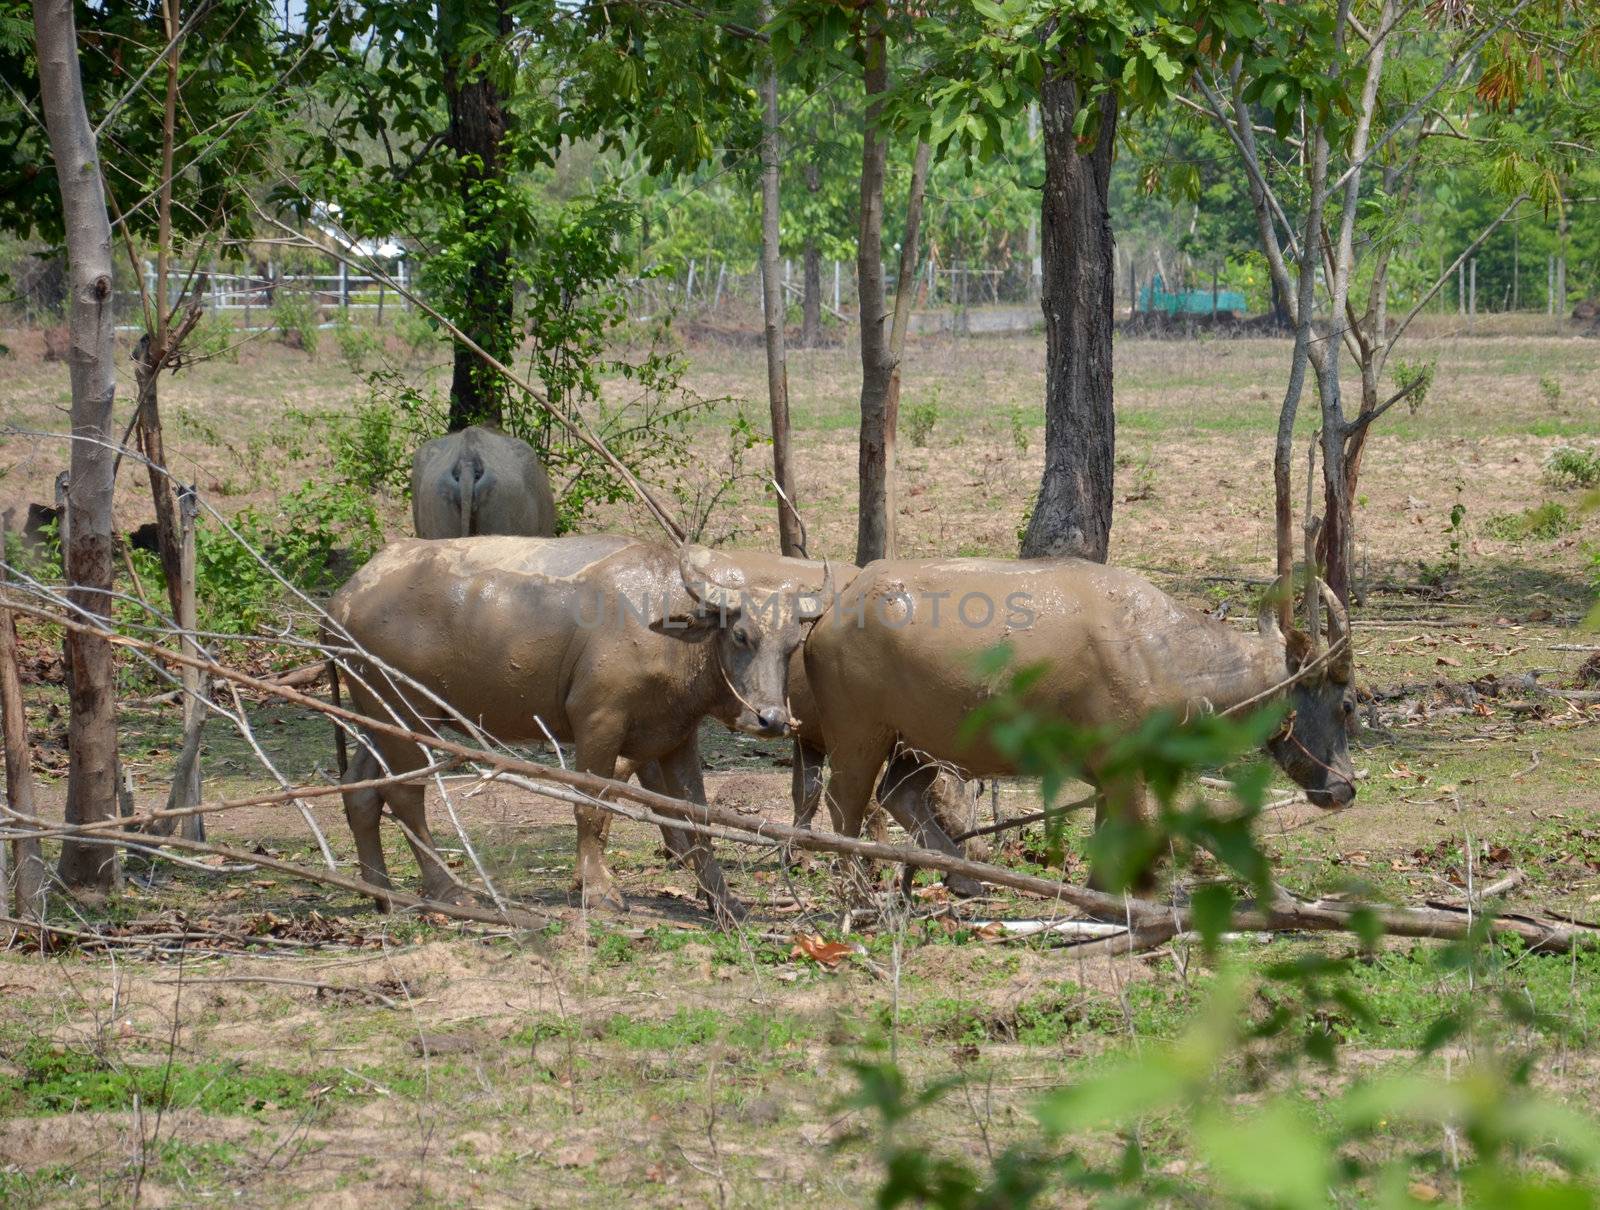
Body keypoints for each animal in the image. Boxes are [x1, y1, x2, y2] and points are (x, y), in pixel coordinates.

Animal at [323, 537, 825, 915]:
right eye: (741, 635)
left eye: (791, 645)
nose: (771, 719)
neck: (663, 635)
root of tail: (341, 600)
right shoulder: (598, 723)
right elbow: (591, 806)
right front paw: (598, 890)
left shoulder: (677, 736)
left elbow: (696, 816)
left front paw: (723, 902)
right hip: (404, 712)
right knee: (405, 794)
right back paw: (447, 891)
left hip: (378, 718)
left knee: (362, 791)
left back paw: (382, 893)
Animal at [806, 556, 1356, 889]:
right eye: (1348, 703)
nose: (1345, 789)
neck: (1162, 653)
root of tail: (832, 612)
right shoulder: (1125, 772)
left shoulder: (1113, 777)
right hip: (859, 737)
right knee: (844, 808)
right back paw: (858, 894)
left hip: (915, 745)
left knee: (899, 796)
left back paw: (964, 879)